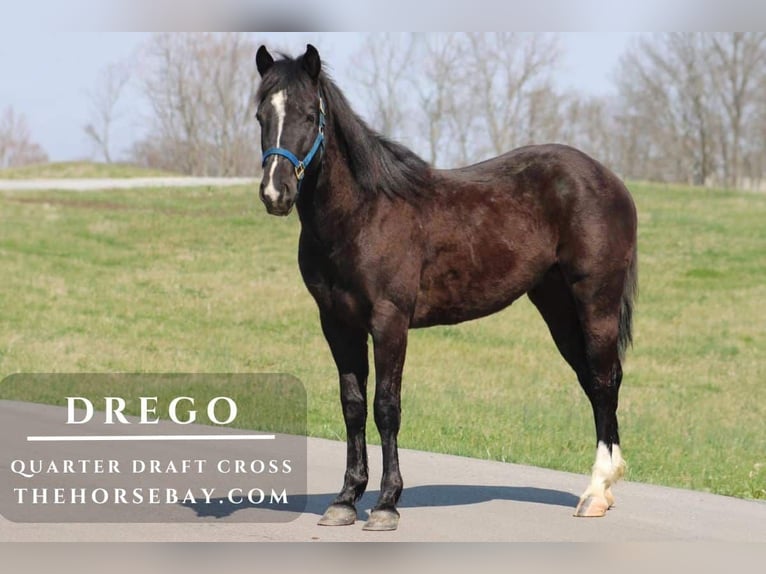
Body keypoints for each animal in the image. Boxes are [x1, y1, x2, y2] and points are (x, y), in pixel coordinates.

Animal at [254, 44, 637, 531]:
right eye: (261, 115)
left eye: (308, 114)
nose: (275, 193)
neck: (362, 214)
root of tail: (608, 179)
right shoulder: (337, 324)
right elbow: (353, 405)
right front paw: (345, 499)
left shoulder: (389, 321)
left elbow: (386, 406)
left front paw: (386, 503)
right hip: (556, 305)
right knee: (592, 380)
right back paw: (602, 489)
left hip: (595, 300)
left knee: (605, 382)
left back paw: (595, 492)